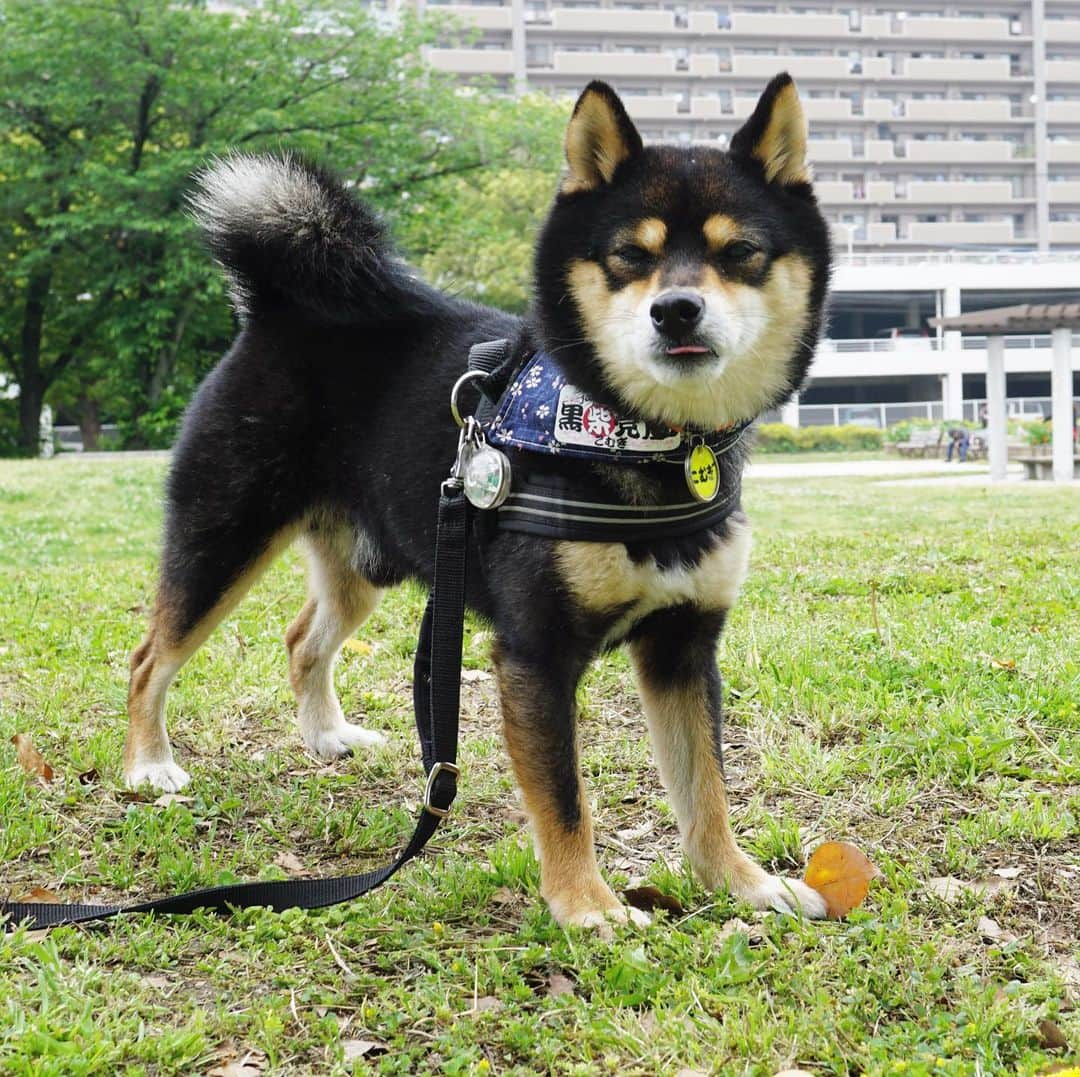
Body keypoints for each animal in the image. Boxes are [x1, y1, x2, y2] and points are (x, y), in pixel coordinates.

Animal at [128, 73, 833, 924]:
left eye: (740, 254)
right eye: (631, 256)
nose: (676, 309)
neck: (632, 434)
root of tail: (282, 309)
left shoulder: (683, 644)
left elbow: (706, 793)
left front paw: (744, 882)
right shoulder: (535, 652)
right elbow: (565, 798)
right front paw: (588, 906)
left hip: (365, 564)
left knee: (302, 640)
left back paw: (327, 736)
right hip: (223, 538)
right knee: (149, 658)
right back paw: (149, 766)